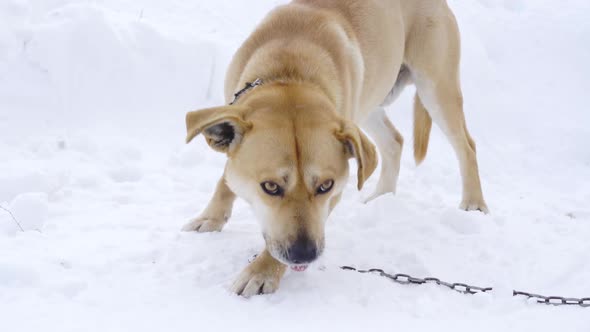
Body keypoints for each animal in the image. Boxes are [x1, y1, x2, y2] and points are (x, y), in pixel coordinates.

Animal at [183, 0, 488, 296]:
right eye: (270, 187)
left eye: (325, 186)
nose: (304, 254)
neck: (288, 73)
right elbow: (225, 178)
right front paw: (210, 217)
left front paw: (262, 271)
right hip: (370, 104)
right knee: (394, 141)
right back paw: (382, 196)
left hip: (435, 87)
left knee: (467, 145)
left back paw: (473, 203)